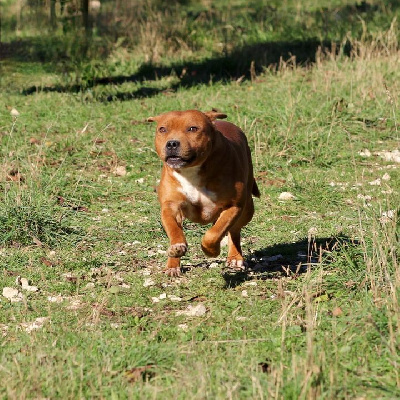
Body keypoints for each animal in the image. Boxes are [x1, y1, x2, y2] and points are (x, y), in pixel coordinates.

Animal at [148, 111, 260, 276]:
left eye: (193, 128)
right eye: (162, 129)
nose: (172, 143)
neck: (191, 172)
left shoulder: (233, 206)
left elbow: (214, 233)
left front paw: (211, 251)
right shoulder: (170, 206)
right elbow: (174, 229)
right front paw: (176, 248)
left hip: (247, 210)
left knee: (235, 230)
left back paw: (235, 258)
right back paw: (172, 265)